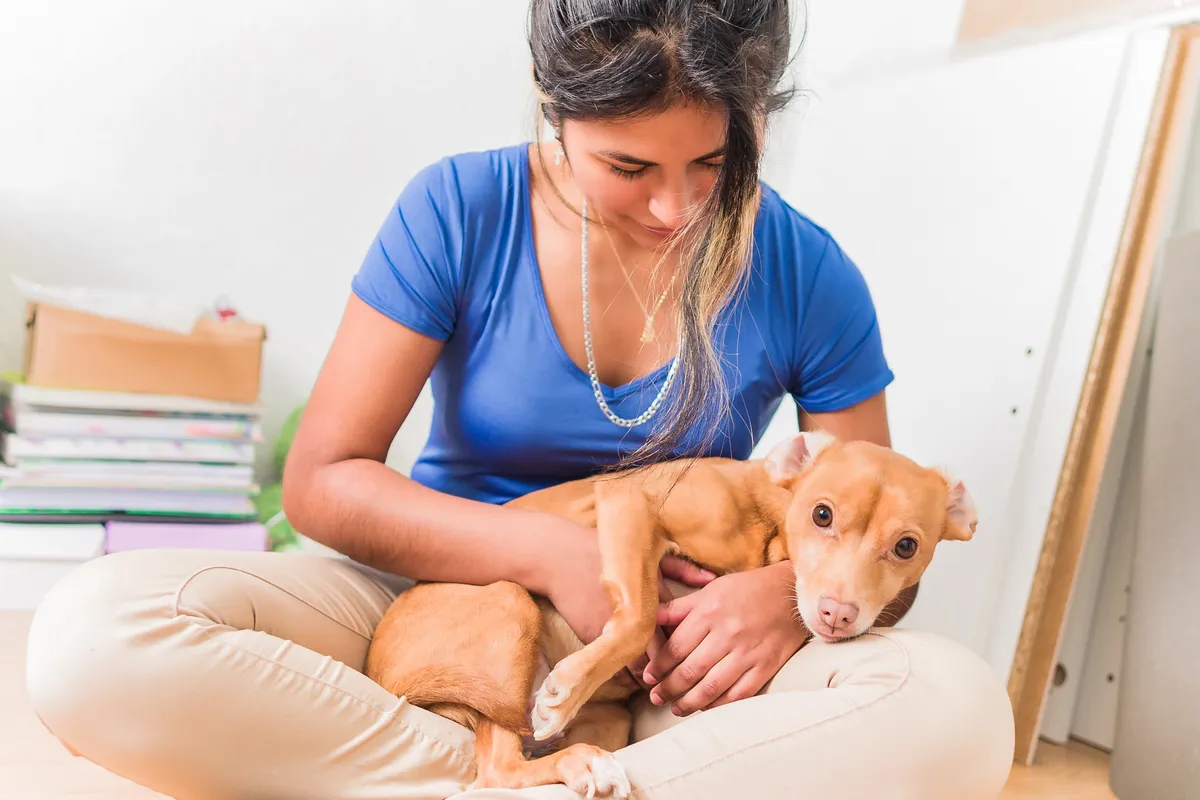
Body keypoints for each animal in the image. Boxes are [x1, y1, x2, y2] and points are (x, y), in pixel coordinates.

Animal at [362, 434, 974, 796]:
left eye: (906, 547)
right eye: (821, 514)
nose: (837, 615)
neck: (765, 519)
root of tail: (380, 673)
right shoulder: (630, 502)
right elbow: (638, 618)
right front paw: (567, 688)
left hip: (611, 720)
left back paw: (584, 763)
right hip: (510, 604)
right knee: (494, 772)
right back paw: (581, 756)